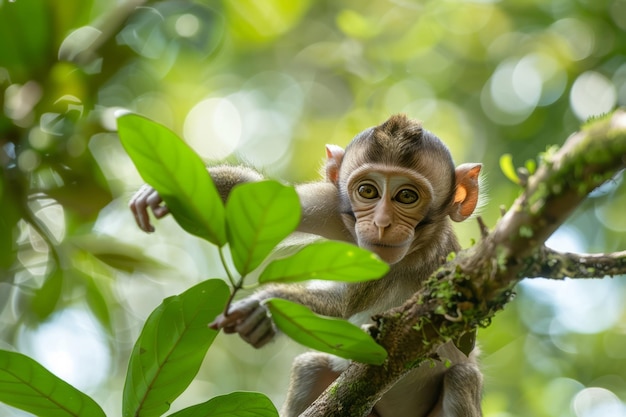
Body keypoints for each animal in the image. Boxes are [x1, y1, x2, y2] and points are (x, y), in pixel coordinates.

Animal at [129, 114, 482, 416]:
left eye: (407, 196)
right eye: (367, 191)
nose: (382, 223)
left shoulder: (426, 257)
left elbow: (346, 306)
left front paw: (263, 306)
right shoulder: (331, 205)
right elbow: (272, 198)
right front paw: (161, 191)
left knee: (462, 378)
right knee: (311, 367)